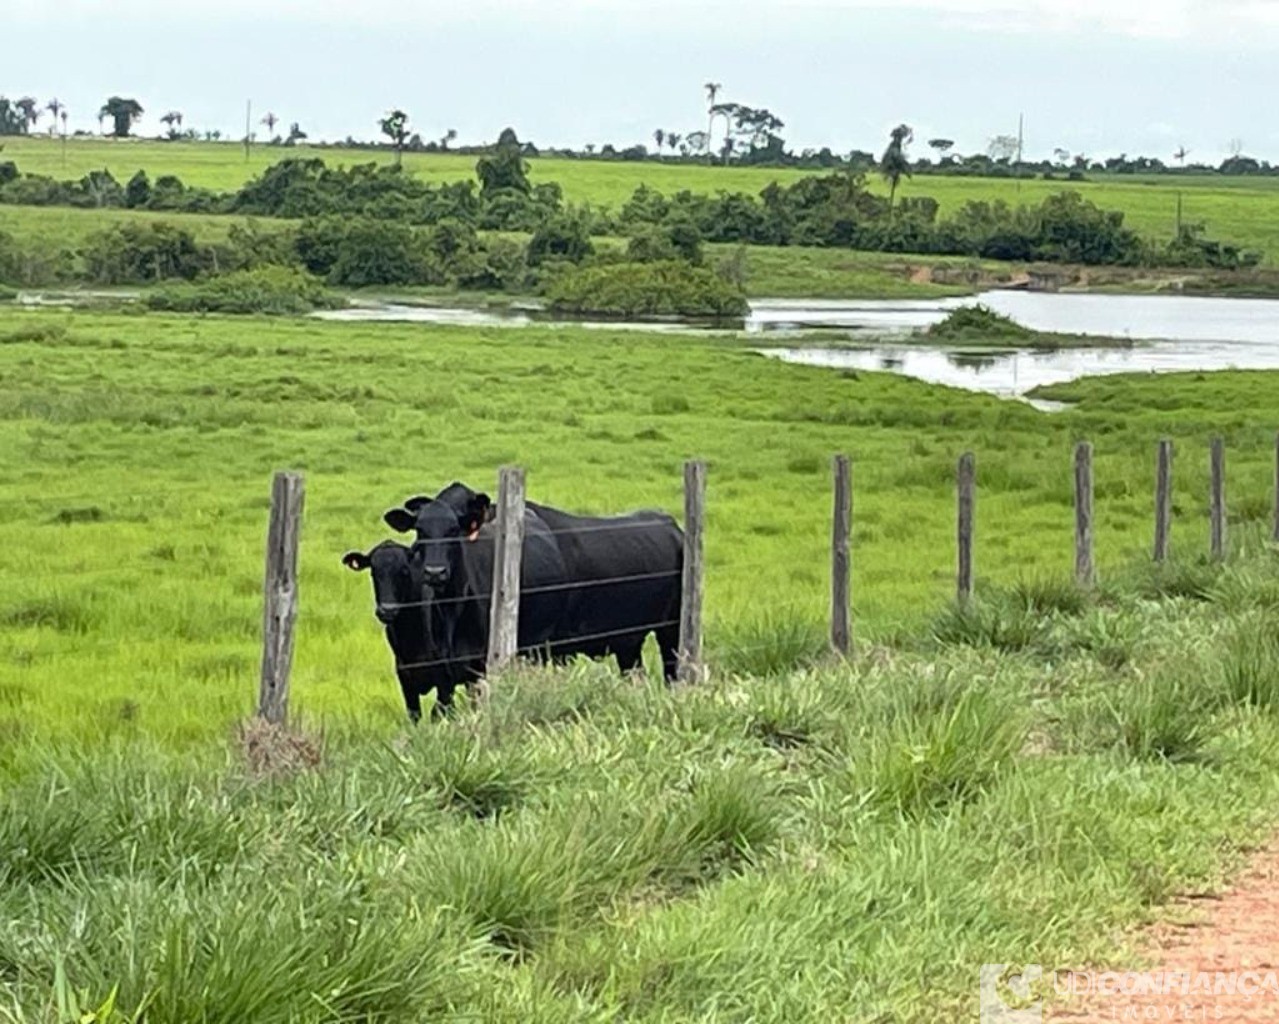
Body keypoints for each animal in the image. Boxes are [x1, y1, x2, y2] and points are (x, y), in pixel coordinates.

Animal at [340, 539, 460, 721]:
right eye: (373, 572)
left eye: (404, 571)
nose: (387, 610)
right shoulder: (405, 677)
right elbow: (415, 715)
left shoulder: (445, 681)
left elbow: (439, 713)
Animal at [399, 483, 685, 685]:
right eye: (420, 531)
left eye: (455, 529)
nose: (435, 572)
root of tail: (670, 524)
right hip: (628, 642)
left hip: (672, 630)